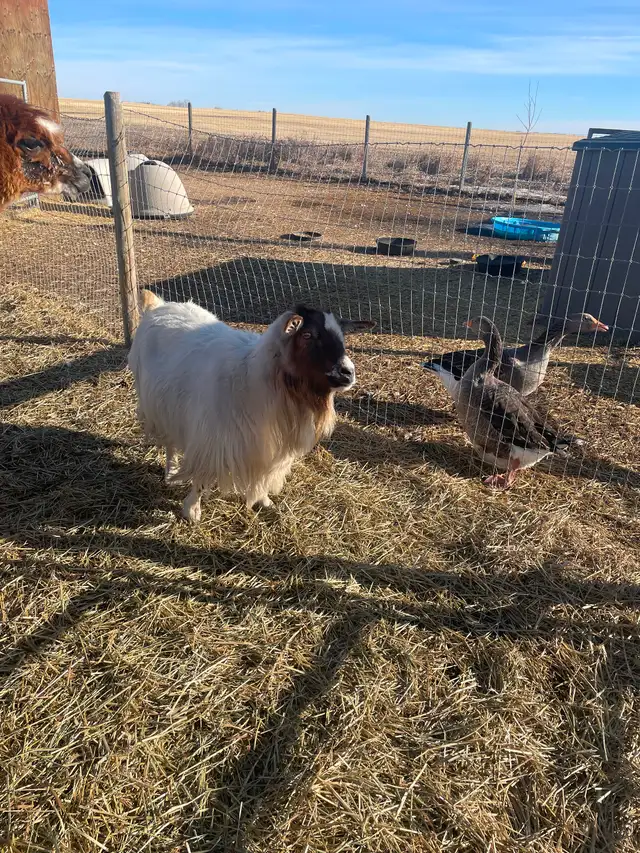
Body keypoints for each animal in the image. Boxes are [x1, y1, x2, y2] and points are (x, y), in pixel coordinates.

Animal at [128, 290, 375, 521]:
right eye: (307, 335)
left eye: (342, 337)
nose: (348, 373)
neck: (253, 376)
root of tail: (160, 305)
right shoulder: (211, 439)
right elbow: (201, 477)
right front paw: (192, 510)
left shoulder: (267, 447)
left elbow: (263, 476)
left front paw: (264, 501)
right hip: (159, 405)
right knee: (170, 443)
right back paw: (170, 473)